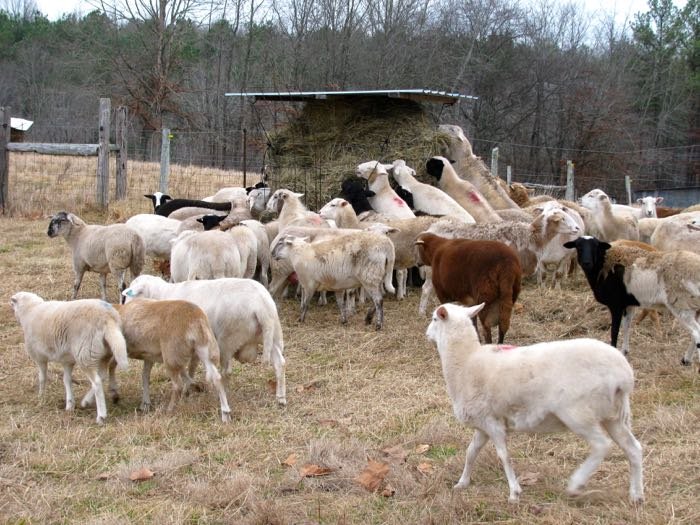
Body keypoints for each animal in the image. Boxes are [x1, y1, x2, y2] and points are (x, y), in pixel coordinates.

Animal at [10, 291, 129, 424]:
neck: (30, 310)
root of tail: (107, 317)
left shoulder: (39, 357)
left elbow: (42, 377)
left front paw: (41, 396)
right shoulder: (67, 360)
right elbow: (67, 380)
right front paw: (69, 404)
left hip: (84, 354)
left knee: (97, 382)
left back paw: (101, 416)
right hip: (104, 353)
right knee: (102, 376)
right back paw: (86, 401)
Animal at [122, 275, 287, 405]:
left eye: (130, 294)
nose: (124, 308)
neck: (160, 295)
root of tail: (262, 307)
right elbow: (192, 366)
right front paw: (189, 388)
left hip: (228, 339)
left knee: (227, 371)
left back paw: (221, 395)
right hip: (273, 336)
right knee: (280, 363)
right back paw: (281, 398)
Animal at [425, 302, 644, 504]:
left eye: (434, 319)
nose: (426, 333)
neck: (465, 361)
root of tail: (624, 374)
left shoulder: (492, 423)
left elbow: (503, 455)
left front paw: (514, 492)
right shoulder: (483, 424)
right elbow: (471, 452)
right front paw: (462, 483)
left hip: (578, 412)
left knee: (601, 445)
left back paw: (576, 484)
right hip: (613, 415)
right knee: (633, 448)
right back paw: (637, 495)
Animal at [563, 236, 700, 366]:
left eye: (596, 246)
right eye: (578, 246)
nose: (586, 262)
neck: (604, 262)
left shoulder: (616, 304)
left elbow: (614, 331)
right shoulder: (628, 305)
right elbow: (626, 326)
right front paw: (624, 351)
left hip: (681, 305)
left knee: (696, 333)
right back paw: (686, 360)